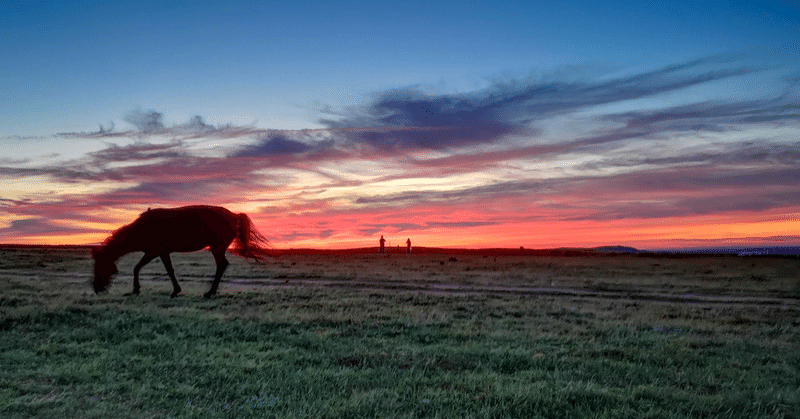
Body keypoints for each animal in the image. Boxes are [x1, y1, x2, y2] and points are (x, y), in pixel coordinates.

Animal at [91, 206, 268, 298]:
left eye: (100, 267)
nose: (97, 289)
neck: (142, 228)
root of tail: (234, 215)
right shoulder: (162, 253)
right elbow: (168, 270)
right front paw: (176, 290)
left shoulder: (154, 252)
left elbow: (138, 268)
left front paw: (136, 289)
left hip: (217, 248)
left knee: (222, 265)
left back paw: (210, 292)